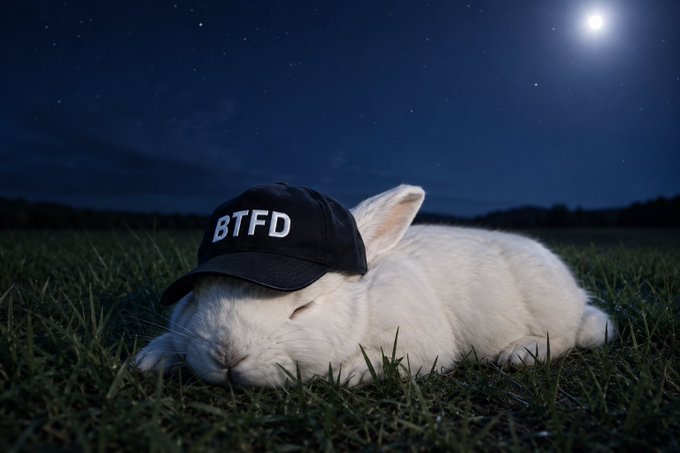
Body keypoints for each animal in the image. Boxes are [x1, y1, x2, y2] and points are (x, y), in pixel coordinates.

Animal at [133, 184, 615, 387]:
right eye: (196, 298)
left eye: (302, 309)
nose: (228, 356)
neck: (362, 307)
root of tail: (576, 297)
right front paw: (150, 359)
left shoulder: (419, 340)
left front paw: (348, 373)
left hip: (549, 307)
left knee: (566, 336)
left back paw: (520, 353)